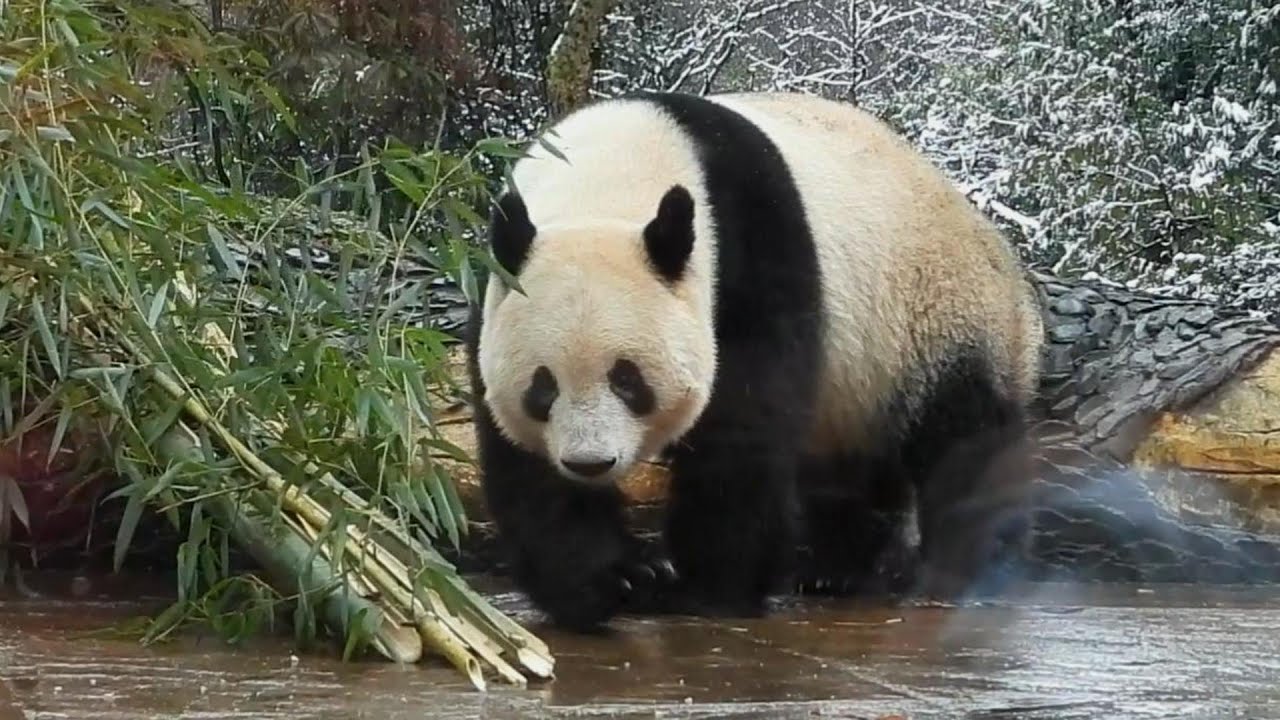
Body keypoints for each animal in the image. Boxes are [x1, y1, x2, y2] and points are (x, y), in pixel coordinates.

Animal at [465, 90, 1046, 632]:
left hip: (939, 316)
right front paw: (610, 579)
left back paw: (962, 568)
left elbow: (745, 424)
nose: (589, 464)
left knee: (964, 441)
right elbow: (525, 466)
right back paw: (838, 570)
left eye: (628, 379)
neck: (604, 183)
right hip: (862, 379)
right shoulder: (494, 289)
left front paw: (707, 587)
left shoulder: (751, 246)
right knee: (852, 468)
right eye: (543, 387)